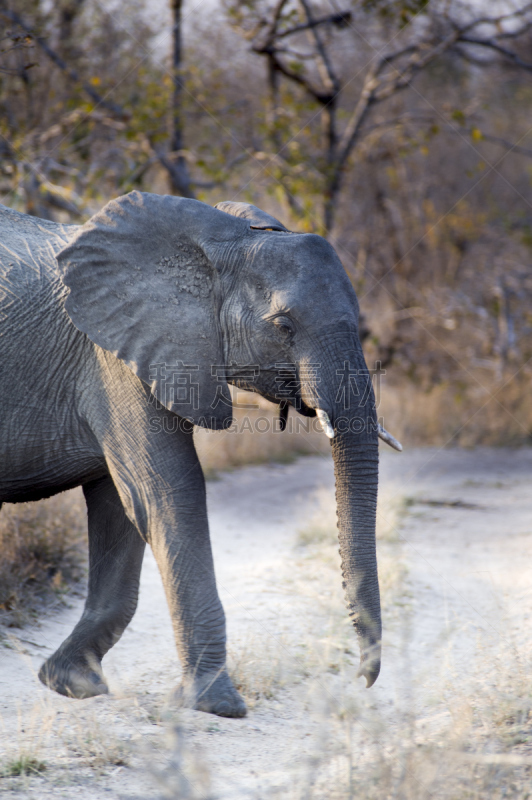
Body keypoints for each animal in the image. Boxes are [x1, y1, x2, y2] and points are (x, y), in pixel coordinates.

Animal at [0, 194, 400, 720]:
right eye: (284, 326)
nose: (361, 679)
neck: (225, 239)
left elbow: (122, 505)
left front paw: (71, 684)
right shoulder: (114, 357)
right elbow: (169, 491)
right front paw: (217, 705)